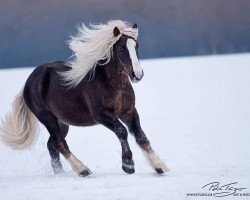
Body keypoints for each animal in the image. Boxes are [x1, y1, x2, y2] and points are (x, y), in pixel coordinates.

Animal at [0, 19, 168, 177]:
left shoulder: (129, 112)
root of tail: (29, 80)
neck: (114, 85)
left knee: (52, 145)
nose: (137, 74)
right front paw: (128, 165)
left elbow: (141, 137)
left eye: (136, 46)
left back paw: (61, 173)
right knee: (59, 143)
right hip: (47, 118)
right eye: (121, 48)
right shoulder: (101, 115)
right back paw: (83, 170)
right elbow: (121, 131)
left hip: (62, 122)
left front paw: (160, 166)